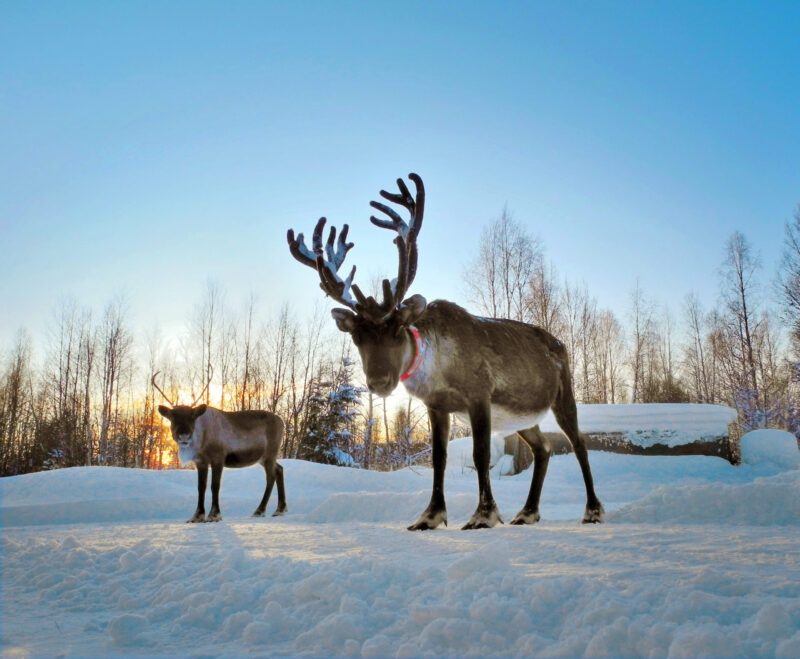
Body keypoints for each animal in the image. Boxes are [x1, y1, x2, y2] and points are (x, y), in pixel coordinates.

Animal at [152, 372, 287, 523]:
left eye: (193, 417)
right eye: (172, 417)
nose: (184, 436)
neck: (202, 437)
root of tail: (282, 421)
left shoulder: (218, 458)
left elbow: (215, 486)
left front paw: (214, 515)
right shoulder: (201, 461)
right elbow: (201, 487)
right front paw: (197, 516)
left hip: (270, 454)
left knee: (271, 477)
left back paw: (259, 511)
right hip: (264, 458)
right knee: (279, 469)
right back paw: (280, 509)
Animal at [287, 173, 603, 530]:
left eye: (398, 328)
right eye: (356, 336)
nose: (380, 381)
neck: (436, 370)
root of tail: (559, 343)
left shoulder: (479, 395)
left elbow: (481, 454)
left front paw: (484, 515)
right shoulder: (436, 406)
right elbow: (439, 458)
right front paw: (430, 516)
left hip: (564, 394)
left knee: (579, 443)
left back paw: (592, 510)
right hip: (522, 417)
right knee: (545, 447)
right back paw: (527, 512)